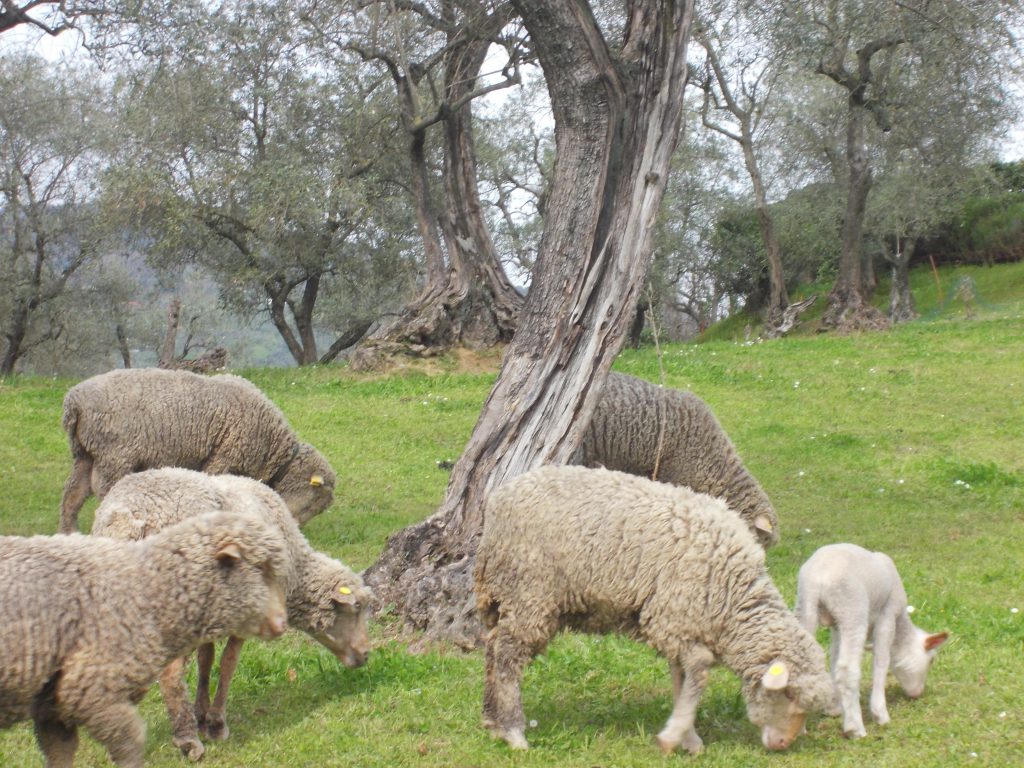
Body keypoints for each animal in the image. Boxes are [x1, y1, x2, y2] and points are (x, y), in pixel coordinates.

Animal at [0, 511, 289, 768]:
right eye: (260, 569)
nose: (281, 624)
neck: (147, 588)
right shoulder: (96, 694)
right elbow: (130, 746)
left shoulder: (54, 706)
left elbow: (60, 754)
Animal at [59, 367, 336, 534]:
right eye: (314, 500)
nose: (294, 528)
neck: (271, 447)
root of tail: (75, 402)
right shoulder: (223, 457)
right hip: (114, 455)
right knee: (104, 491)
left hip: (85, 454)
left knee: (73, 494)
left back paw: (70, 531)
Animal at [92, 467, 373, 761]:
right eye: (356, 609)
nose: (366, 654)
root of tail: (131, 518)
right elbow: (228, 663)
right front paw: (215, 723)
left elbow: (206, 658)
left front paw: (201, 714)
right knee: (170, 674)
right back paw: (186, 739)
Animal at [475, 464, 834, 755]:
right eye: (788, 695)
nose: (782, 744)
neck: (731, 598)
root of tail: (499, 500)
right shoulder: (670, 619)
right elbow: (700, 670)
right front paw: (674, 737)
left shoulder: (681, 624)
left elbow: (682, 680)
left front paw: (687, 738)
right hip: (530, 592)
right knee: (506, 657)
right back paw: (513, 732)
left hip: (512, 596)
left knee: (492, 649)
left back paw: (491, 722)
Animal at [794, 543, 949, 739]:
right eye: (931, 660)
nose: (917, 694)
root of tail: (818, 577)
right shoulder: (888, 615)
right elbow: (882, 660)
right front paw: (880, 714)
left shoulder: (836, 627)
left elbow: (834, 659)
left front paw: (836, 708)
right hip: (852, 609)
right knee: (847, 669)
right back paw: (856, 729)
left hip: (805, 606)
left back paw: (799, 728)